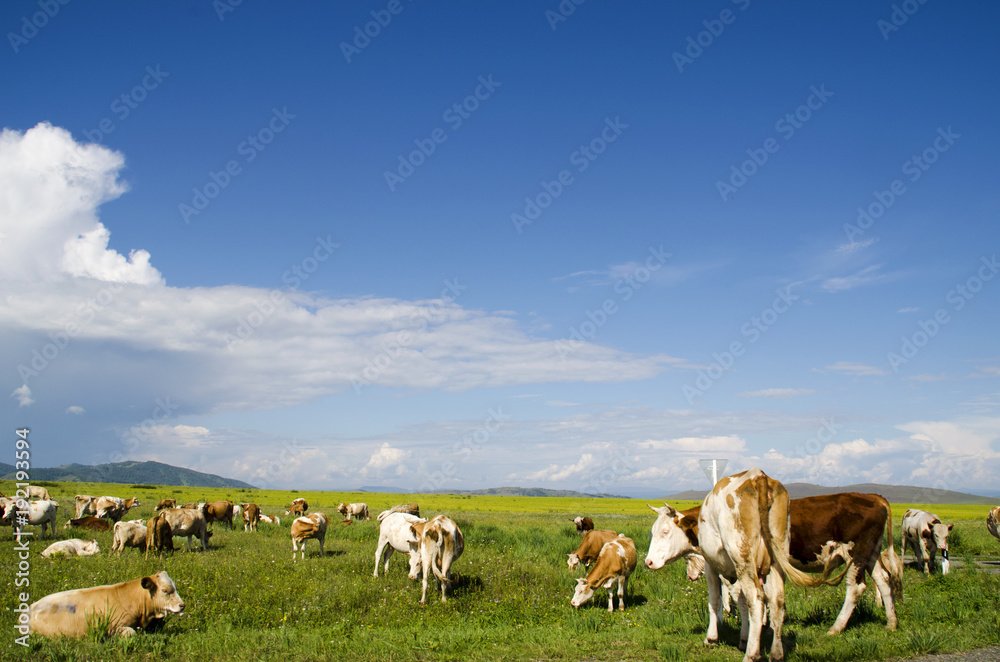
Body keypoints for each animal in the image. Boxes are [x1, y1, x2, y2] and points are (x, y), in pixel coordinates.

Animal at [648, 470, 844, 662]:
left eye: (665, 531)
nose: (648, 562)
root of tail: (757, 476)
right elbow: (742, 603)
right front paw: (743, 638)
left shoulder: (713, 567)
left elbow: (716, 600)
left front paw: (711, 638)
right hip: (775, 561)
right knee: (777, 601)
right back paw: (776, 653)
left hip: (745, 562)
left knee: (757, 600)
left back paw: (751, 654)